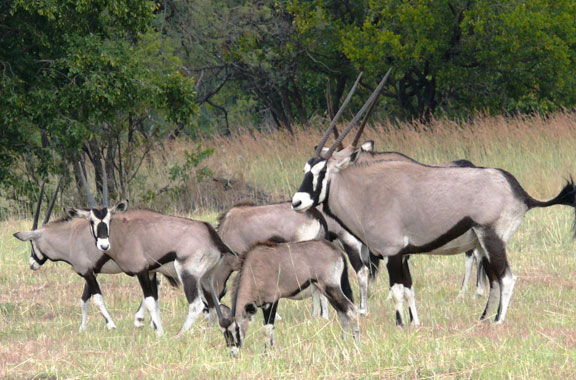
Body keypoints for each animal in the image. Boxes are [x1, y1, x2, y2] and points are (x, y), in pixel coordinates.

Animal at [220, 240, 360, 356]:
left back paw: (356, 343)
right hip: (328, 292)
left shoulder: (271, 301)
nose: (233, 353)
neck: (253, 268)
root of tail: (338, 252)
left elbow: (267, 328)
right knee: (342, 314)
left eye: (237, 328)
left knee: (352, 311)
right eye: (223, 332)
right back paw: (343, 341)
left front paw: (267, 353)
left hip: (331, 288)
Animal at [292, 72, 576, 326]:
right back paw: (483, 318)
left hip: (492, 238)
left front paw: (400, 325)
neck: (365, 191)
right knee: (495, 279)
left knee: (506, 278)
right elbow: (409, 289)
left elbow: (397, 290)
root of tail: (519, 190)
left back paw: (497, 321)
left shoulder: (392, 253)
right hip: (484, 243)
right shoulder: (403, 254)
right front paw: (415, 323)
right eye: (306, 168)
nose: (297, 202)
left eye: (322, 171)